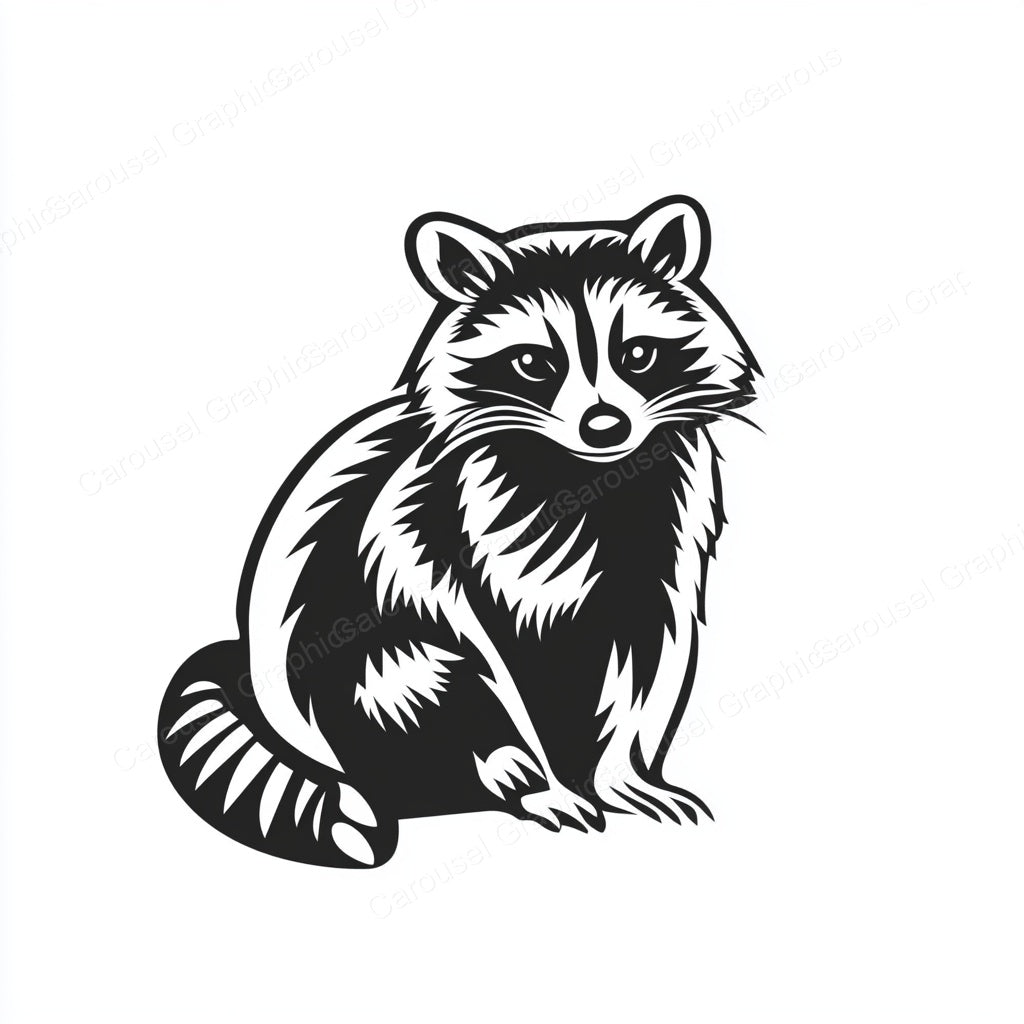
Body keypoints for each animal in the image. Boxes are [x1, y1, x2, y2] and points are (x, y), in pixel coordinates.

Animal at [157, 196, 759, 868]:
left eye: (637, 354)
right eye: (534, 363)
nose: (606, 426)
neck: (587, 474)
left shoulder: (657, 550)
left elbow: (645, 662)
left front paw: (621, 773)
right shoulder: (451, 530)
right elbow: (488, 652)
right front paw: (544, 780)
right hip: (364, 687)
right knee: (437, 680)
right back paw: (512, 775)